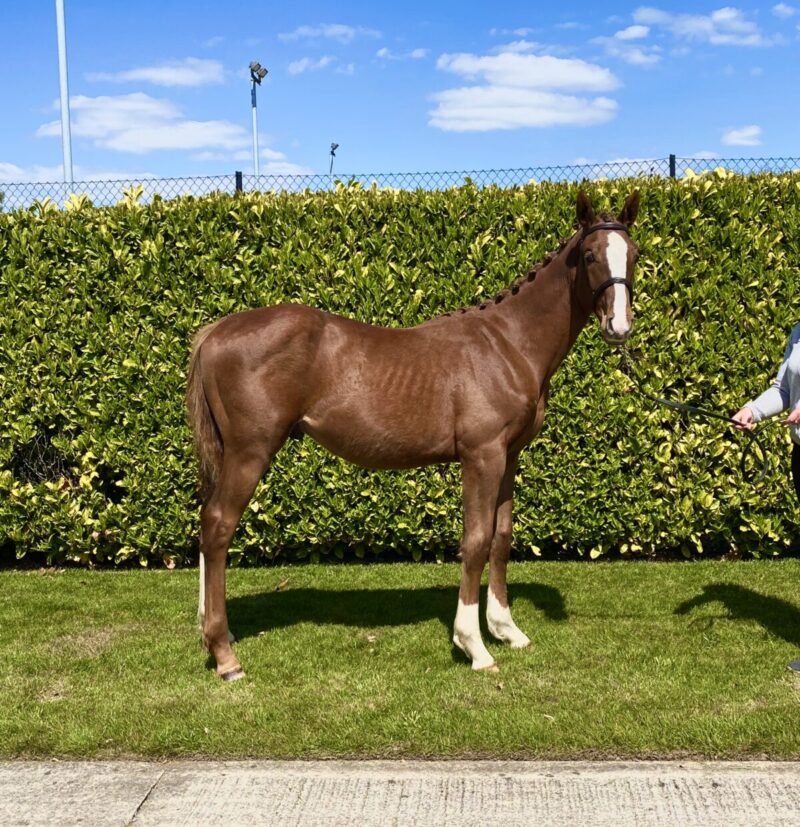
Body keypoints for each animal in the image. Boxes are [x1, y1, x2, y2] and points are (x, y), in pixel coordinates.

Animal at [186, 191, 636, 684]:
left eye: (633, 255)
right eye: (590, 255)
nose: (619, 327)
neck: (508, 345)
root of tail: (215, 332)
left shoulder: (509, 456)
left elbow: (501, 537)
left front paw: (506, 630)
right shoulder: (482, 456)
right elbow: (476, 540)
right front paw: (474, 645)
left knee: (206, 523)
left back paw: (214, 635)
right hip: (250, 452)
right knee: (218, 526)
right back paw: (225, 657)